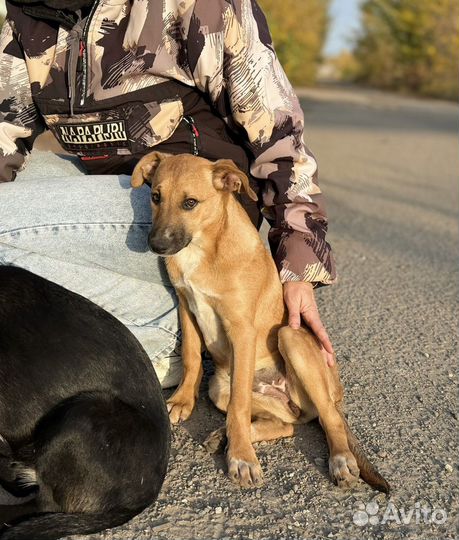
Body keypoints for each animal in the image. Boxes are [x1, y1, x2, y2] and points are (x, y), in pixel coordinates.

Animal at [131, 153, 390, 494]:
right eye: (156, 197)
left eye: (190, 203)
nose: (156, 245)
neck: (205, 248)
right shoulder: (187, 307)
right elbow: (190, 357)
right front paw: (182, 401)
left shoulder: (242, 329)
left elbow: (239, 405)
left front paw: (241, 457)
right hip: (222, 389)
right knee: (287, 425)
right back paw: (222, 437)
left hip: (291, 336)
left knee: (328, 418)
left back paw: (340, 461)